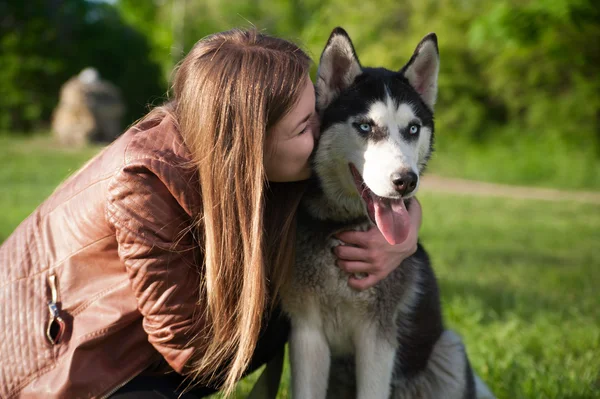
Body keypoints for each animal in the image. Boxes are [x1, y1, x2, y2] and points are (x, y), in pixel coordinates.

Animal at [282, 28, 478, 399]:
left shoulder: (377, 337)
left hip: (449, 351)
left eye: (413, 129)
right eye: (364, 126)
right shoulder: (307, 333)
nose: (406, 181)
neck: (341, 227)